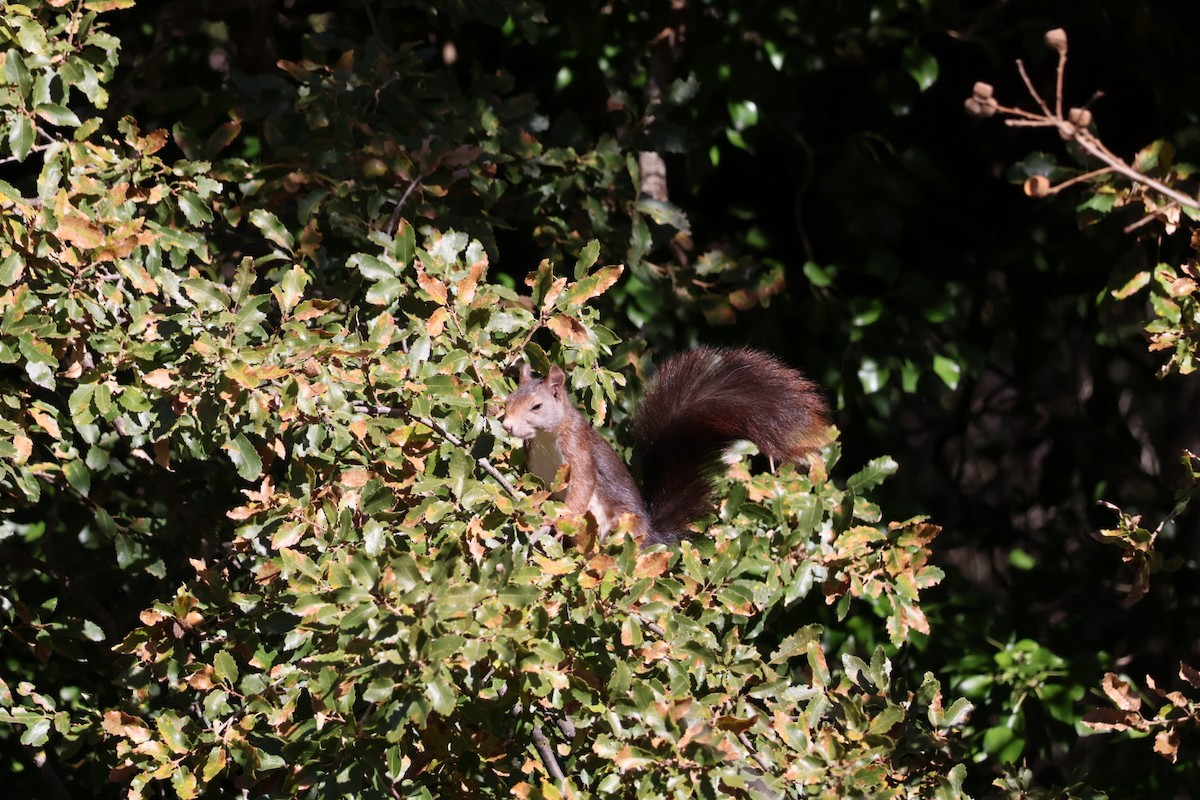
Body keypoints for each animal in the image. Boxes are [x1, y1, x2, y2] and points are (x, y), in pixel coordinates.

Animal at [501, 347, 830, 546]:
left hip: (621, 528)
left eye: (537, 406)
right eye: (508, 401)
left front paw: (558, 519)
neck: (545, 440)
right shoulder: (537, 467)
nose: (507, 426)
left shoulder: (578, 452)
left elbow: (582, 487)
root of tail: (651, 538)